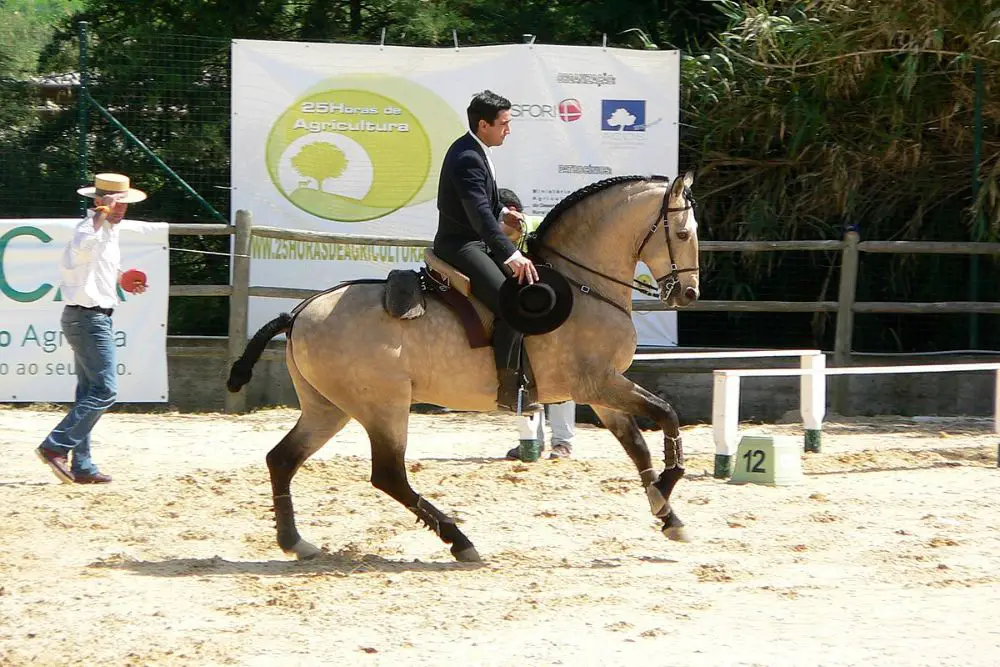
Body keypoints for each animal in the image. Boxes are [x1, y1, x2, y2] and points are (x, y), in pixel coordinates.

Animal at [229, 172, 704, 564]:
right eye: (683, 232)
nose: (689, 294)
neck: (583, 286)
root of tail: (300, 312)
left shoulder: (601, 389)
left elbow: (637, 446)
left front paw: (668, 515)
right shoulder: (598, 383)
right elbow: (667, 414)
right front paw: (665, 490)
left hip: (328, 408)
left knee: (282, 459)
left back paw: (295, 542)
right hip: (383, 407)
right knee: (388, 475)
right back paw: (459, 540)